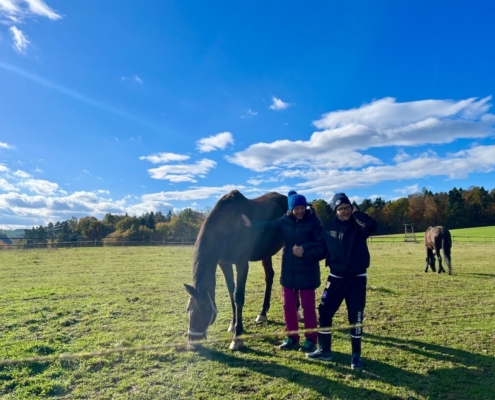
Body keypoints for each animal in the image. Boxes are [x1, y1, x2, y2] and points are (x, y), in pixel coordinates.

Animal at [185, 191, 286, 350]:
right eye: (189, 309)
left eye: (204, 311)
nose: (192, 344)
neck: (229, 225)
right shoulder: (224, 264)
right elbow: (231, 293)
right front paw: (233, 325)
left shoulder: (242, 264)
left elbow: (238, 296)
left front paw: (237, 337)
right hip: (266, 253)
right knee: (269, 276)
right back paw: (262, 314)